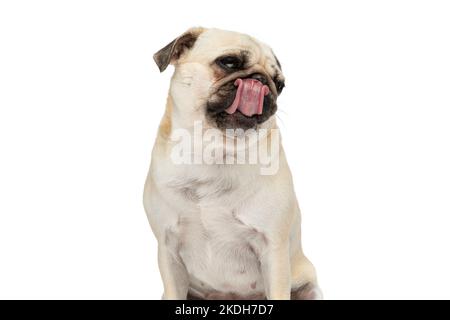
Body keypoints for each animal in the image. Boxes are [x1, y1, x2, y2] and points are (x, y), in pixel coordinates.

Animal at [144, 27, 320, 300]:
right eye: (228, 62)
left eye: (279, 85)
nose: (260, 80)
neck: (214, 150)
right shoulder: (167, 249)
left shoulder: (274, 251)